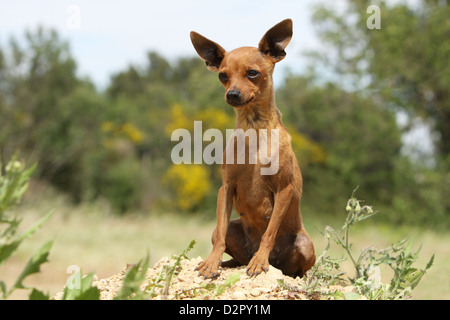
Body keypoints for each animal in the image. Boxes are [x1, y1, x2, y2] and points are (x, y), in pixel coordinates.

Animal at [192, 18, 314, 278]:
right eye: (223, 76)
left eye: (253, 73)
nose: (232, 94)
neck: (254, 130)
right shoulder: (226, 187)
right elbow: (220, 235)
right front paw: (211, 262)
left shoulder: (284, 189)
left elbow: (269, 233)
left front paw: (259, 262)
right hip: (230, 231)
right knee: (226, 243)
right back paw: (227, 262)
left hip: (304, 245)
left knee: (296, 269)